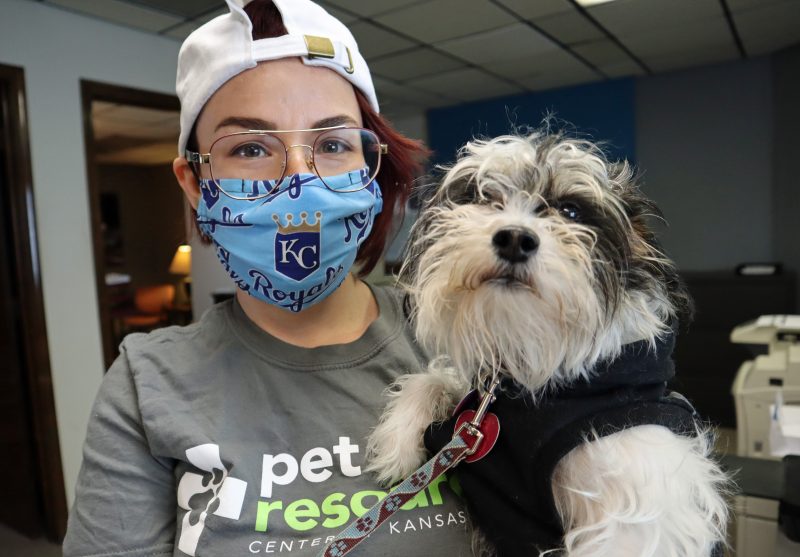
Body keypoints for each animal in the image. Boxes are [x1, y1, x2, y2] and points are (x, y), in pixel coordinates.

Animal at [368, 131, 732, 556]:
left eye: (571, 212)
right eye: (484, 197)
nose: (514, 238)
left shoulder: (644, 513)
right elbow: (438, 378)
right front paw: (397, 441)